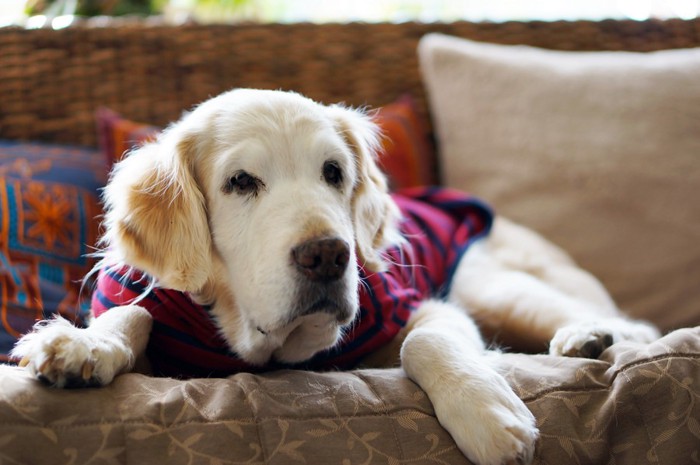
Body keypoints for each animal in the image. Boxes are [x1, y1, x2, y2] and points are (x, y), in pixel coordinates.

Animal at [10, 88, 660, 464]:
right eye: (240, 182)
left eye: (333, 172)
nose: (327, 256)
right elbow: (131, 312)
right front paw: (83, 346)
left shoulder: (420, 304)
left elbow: (426, 340)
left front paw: (485, 414)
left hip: (498, 287)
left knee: (633, 325)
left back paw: (591, 336)